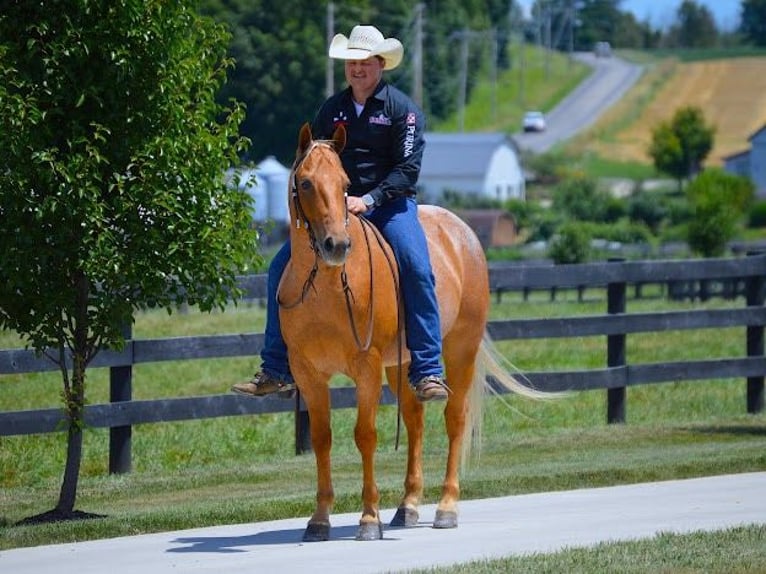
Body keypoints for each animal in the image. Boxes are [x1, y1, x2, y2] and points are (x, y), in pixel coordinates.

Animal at [280, 122, 540, 544]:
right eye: (305, 183)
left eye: (345, 184)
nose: (337, 245)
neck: (328, 286)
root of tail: (463, 232)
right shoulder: (309, 374)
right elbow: (322, 438)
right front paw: (319, 520)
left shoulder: (366, 368)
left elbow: (365, 435)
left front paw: (369, 519)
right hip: (401, 365)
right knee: (415, 423)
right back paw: (408, 506)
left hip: (459, 351)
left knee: (454, 419)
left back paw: (446, 507)